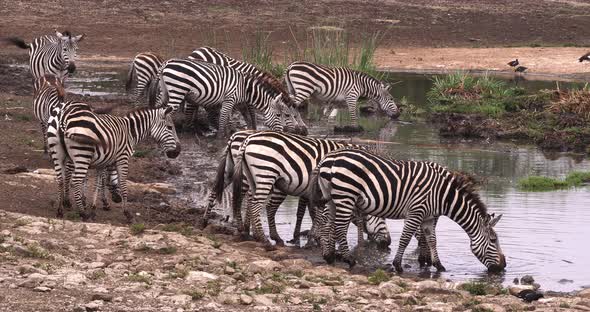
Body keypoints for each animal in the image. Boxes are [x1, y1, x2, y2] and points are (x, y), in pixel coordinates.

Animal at [46, 101, 180, 221]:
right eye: (170, 127)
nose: (177, 152)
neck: (129, 132)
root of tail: (62, 117)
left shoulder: (102, 162)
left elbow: (98, 184)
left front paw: (94, 209)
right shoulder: (123, 158)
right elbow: (123, 183)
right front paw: (127, 213)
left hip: (58, 154)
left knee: (60, 180)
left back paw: (60, 211)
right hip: (82, 155)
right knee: (76, 181)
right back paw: (82, 213)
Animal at [150, 59, 300, 138]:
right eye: (280, 115)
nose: (282, 133)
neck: (245, 88)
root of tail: (166, 63)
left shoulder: (233, 102)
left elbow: (229, 117)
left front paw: (229, 131)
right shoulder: (230, 98)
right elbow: (223, 116)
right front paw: (221, 136)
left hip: (166, 91)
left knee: (157, 107)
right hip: (177, 90)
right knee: (166, 110)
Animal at [204, 129, 394, 249]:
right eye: (382, 218)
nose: (389, 242)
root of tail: (242, 138)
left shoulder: (310, 192)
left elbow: (308, 213)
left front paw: (309, 237)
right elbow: (323, 215)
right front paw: (318, 239)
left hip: (234, 171)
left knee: (218, 190)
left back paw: (207, 221)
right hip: (260, 174)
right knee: (251, 202)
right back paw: (259, 236)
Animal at [310, 147, 508, 272]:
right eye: (493, 240)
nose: (504, 266)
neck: (442, 195)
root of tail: (329, 158)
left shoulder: (428, 217)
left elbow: (432, 240)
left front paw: (438, 265)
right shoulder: (416, 211)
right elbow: (405, 239)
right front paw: (397, 265)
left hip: (332, 198)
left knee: (328, 225)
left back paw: (329, 256)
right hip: (346, 195)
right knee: (339, 228)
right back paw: (349, 260)